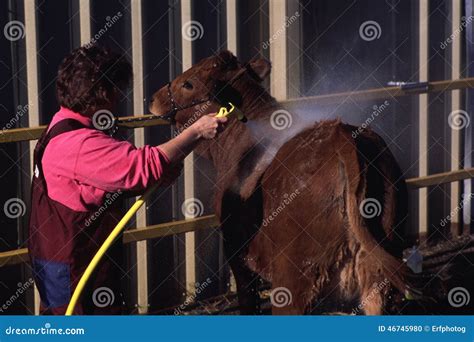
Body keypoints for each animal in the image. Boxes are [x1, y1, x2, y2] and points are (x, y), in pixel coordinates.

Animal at [150, 50, 410, 316]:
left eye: (188, 84)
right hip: (377, 280)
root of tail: (342, 137)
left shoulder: (237, 256)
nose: (154, 98)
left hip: (294, 282)